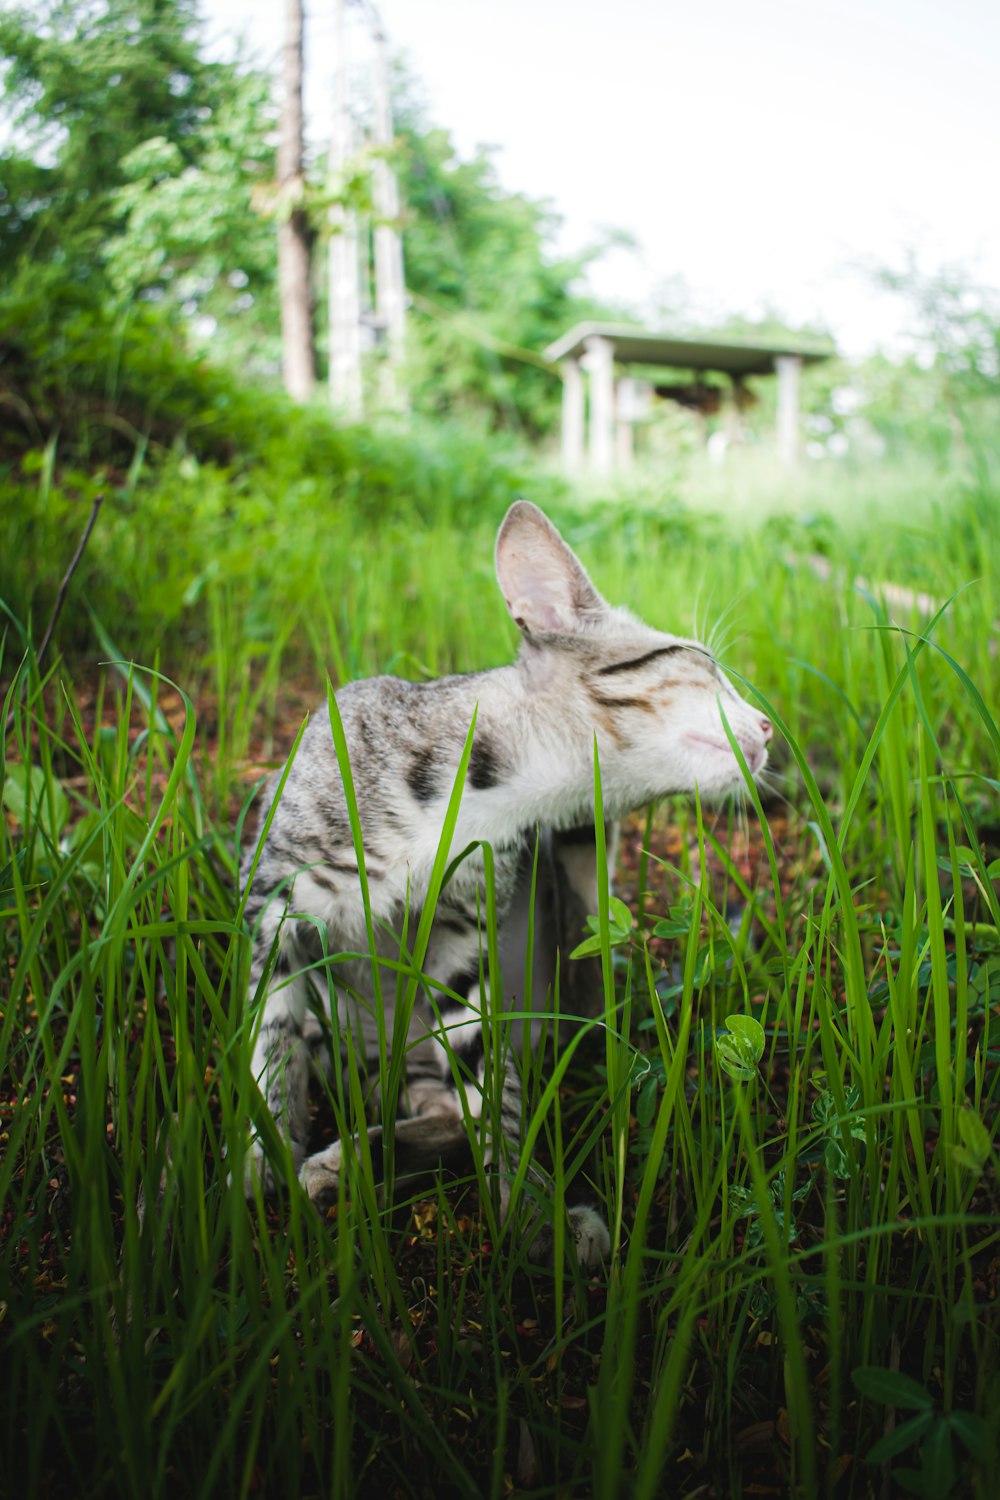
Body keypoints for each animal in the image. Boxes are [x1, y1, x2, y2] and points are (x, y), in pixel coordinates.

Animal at [242, 498, 773, 1260]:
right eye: (705, 664)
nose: (768, 726)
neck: (499, 796)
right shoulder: (277, 913)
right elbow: (271, 1046)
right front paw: (262, 1162)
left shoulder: (464, 953)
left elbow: (497, 1097)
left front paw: (530, 1210)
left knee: (449, 1107)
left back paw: (349, 1161)